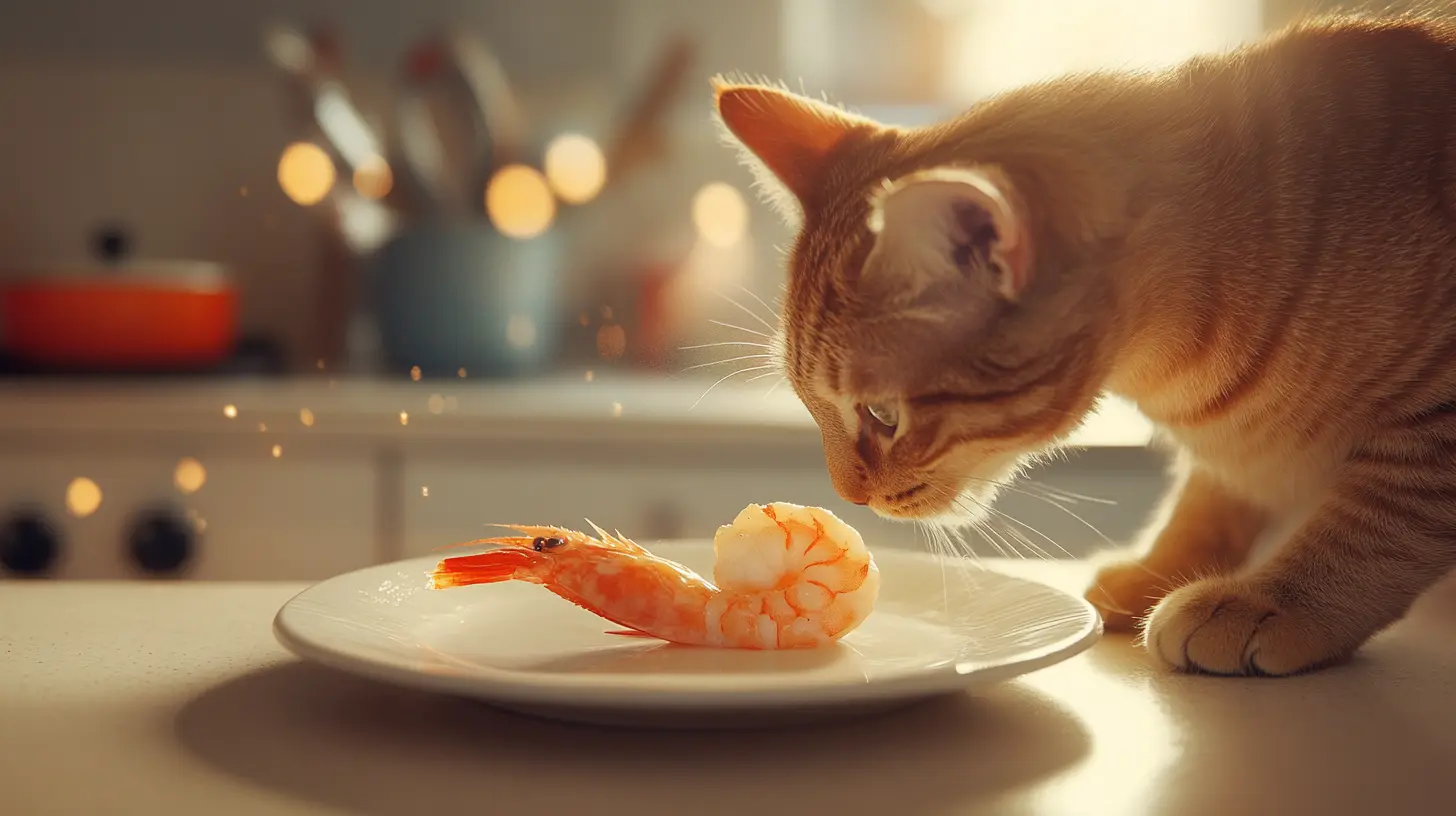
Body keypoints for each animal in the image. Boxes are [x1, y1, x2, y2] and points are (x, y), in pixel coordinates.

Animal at [713, 11, 1456, 676]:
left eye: (883, 415)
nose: (846, 499)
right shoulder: (1232, 462)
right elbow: (1209, 498)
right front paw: (1160, 569)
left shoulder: (1434, 429)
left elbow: (1374, 525)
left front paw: (1272, 601)